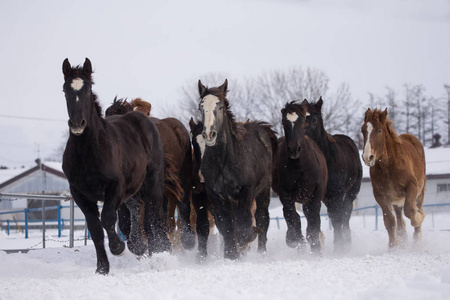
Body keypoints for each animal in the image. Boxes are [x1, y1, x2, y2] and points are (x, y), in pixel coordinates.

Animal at [198, 78, 278, 258]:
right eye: (201, 107)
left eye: (220, 106)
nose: (209, 135)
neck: (224, 161)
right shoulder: (217, 196)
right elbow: (227, 226)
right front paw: (231, 254)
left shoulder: (246, 191)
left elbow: (244, 221)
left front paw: (245, 240)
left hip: (263, 190)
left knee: (262, 217)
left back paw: (261, 251)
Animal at [270, 101, 326, 253]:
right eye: (284, 122)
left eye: (302, 121)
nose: (294, 149)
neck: (300, 166)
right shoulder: (285, 193)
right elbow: (292, 216)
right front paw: (296, 240)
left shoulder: (315, 193)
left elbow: (313, 218)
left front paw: (315, 244)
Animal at [302, 98, 362, 251]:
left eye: (315, 118)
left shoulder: (337, 194)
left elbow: (337, 218)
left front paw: (339, 247)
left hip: (350, 192)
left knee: (345, 214)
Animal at [360, 109, 428, 247]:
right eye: (363, 130)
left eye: (379, 131)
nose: (367, 157)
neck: (389, 167)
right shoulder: (380, 195)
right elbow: (389, 221)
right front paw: (393, 246)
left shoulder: (411, 187)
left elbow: (411, 211)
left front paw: (419, 218)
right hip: (397, 199)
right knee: (399, 220)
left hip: (419, 192)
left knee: (417, 207)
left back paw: (417, 240)